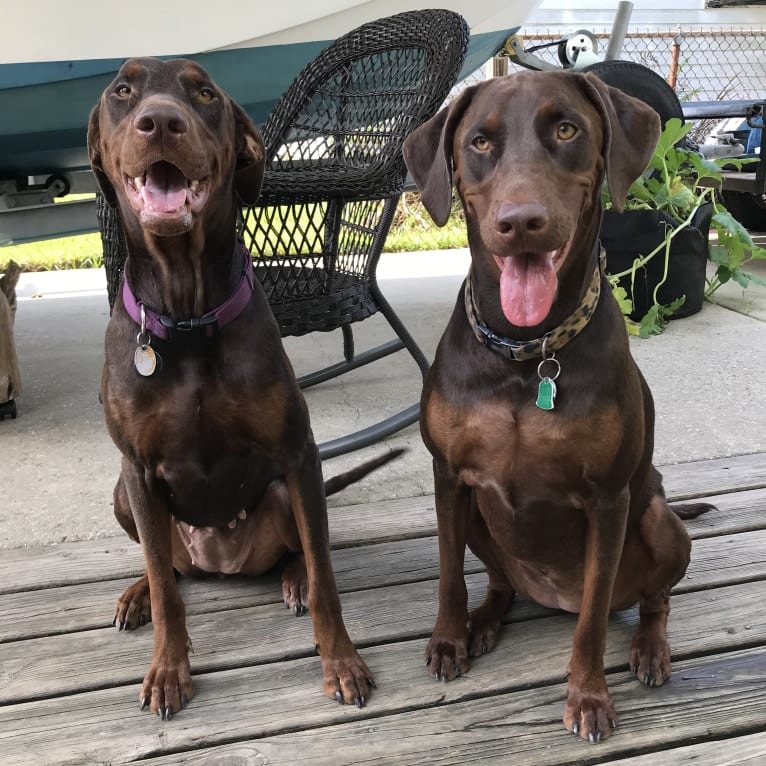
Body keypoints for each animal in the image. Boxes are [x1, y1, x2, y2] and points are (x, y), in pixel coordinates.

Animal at [88, 58, 382, 720]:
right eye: (123, 90)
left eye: (204, 93)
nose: (160, 122)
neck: (187, 315)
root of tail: (217, 561)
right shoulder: (136, 468)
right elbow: (167, 593)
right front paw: (168, 670)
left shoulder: (298, 453)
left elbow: (326, 577)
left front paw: (341, 662)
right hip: (125, 495)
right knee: (167, 570)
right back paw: (138, 591)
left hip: (281, 493)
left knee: (303, 549)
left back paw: (292, 577)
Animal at [404, 72, 716, 744]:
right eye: (480, 141)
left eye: (567, 129)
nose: (521, 222)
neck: (527, 354)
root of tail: (551, 596)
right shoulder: (449, 477)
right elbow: (446, 573)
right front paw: (448, 640)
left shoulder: (608, 499)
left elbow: (594, 621)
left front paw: (589, 696)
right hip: (481, 519)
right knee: (498, 581)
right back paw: (484, 621)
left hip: (659, 520)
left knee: (653, 598)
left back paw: (651, 647)